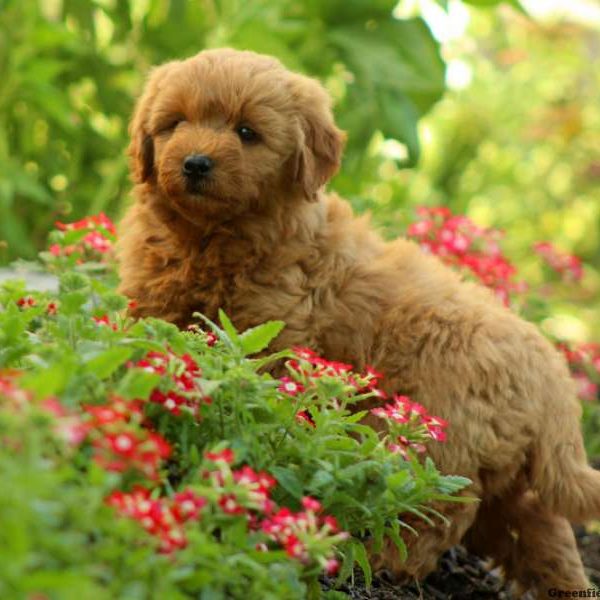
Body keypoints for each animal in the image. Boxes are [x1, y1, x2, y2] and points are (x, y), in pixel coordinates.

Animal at [118, 48, 600, 596]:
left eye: (246, 132)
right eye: (176, 123)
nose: (196, 162)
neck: (209, 240)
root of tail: (554, 377)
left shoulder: (271, 337)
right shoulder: (153, 303)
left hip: (433, 439)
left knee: (430, 516)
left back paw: (370, 557)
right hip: (511, 476)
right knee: (542, 530)